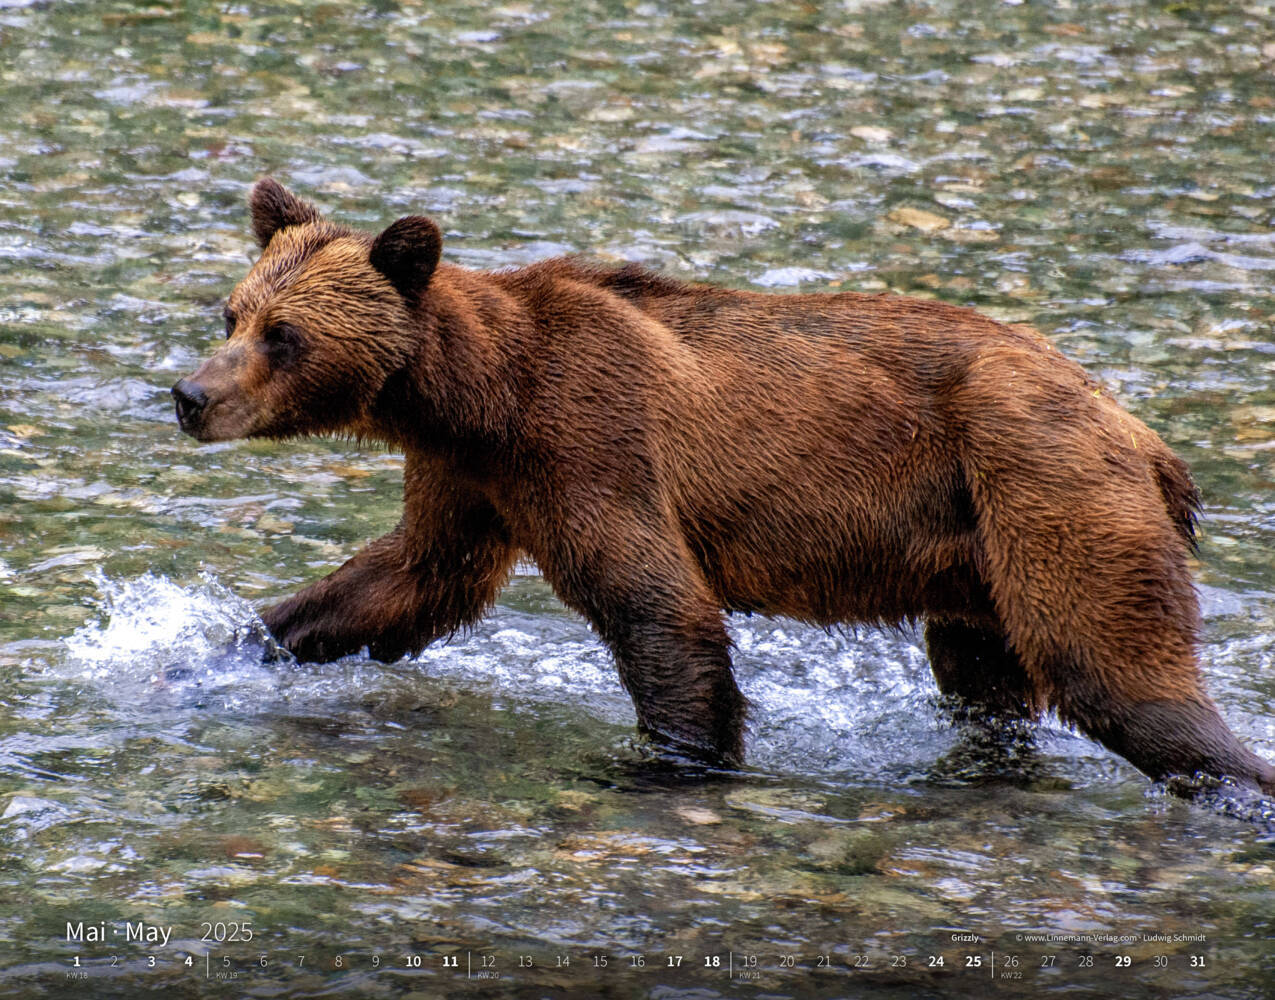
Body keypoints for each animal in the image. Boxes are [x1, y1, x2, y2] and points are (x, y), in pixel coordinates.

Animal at [172, 177, 1275, 795]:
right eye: (230, 311)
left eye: (285, 335)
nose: (189, 394)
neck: (478, 395)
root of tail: (1138, 429)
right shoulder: (471, 476)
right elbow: (406, 580)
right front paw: (214, 645)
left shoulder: (587, 439)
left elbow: (659, 609)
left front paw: (678, 757)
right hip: (976, 552)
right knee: (985, 682)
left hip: (1048, 484)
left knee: (1118, 671)